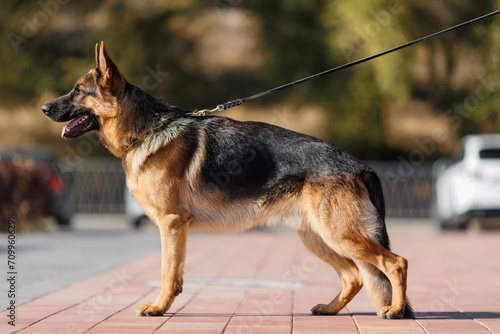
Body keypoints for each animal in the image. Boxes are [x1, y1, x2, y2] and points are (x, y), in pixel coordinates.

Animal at [43, 43, 412, 320]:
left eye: (77, 91)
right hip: (319, 239)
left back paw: (394, 311)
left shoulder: (171, 224)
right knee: (354, 276)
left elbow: (166, 273)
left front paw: (158, 308)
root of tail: (359, 166)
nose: (44, 107)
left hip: (340, 235)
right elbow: (174, 274)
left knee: (396, 263)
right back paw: (330, 309)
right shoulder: (175, 228)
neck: (147, 130)